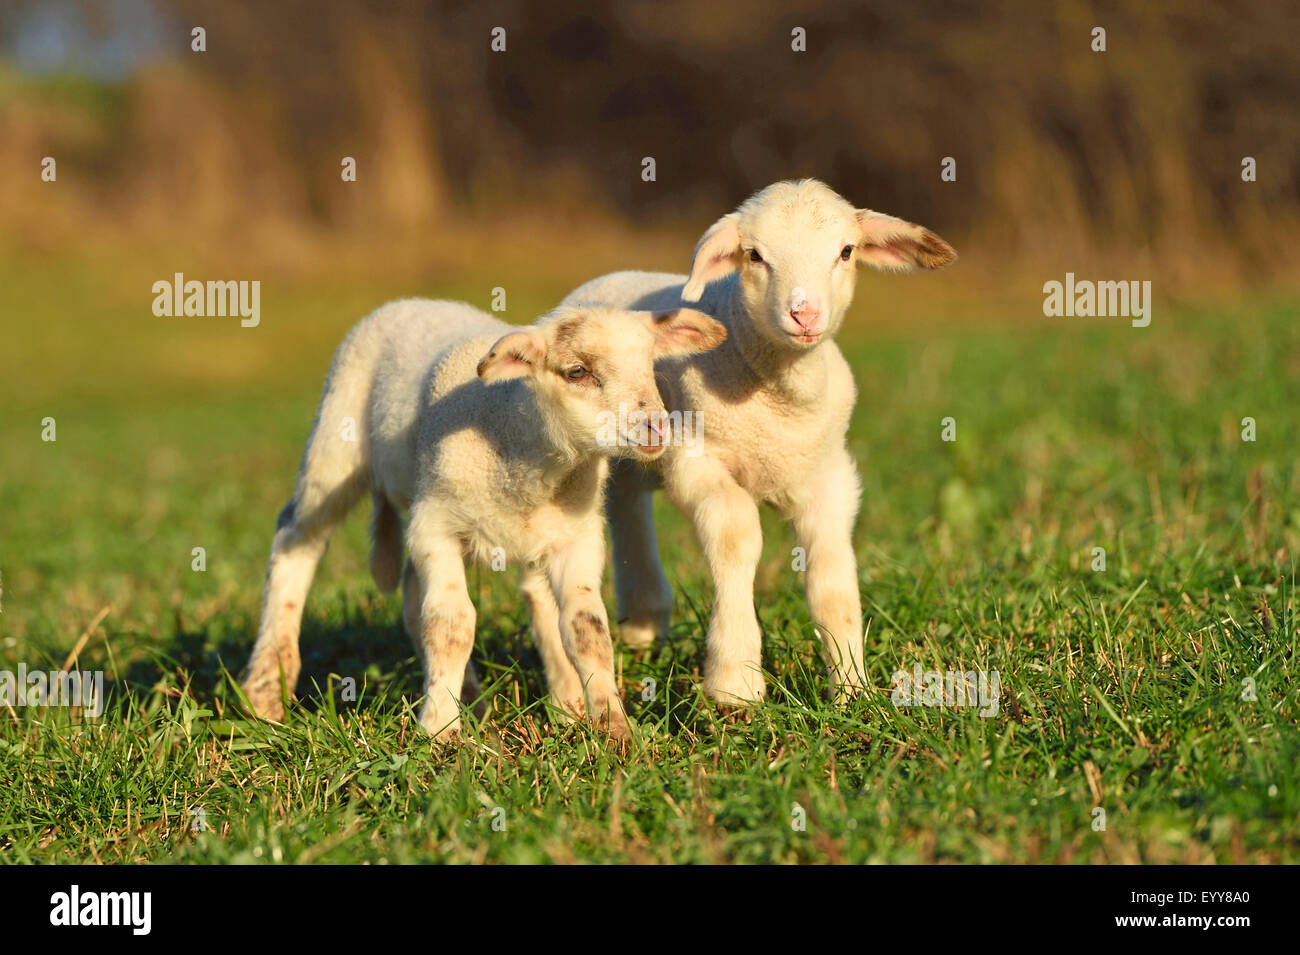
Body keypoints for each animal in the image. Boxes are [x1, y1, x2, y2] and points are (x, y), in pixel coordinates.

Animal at [237, 297, 728, 738]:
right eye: (577, 372)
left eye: (648, 364)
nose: (656, 428)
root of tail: (409, 301)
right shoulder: (435, 527)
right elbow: (451, 625)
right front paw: (438, 732)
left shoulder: (576, 538)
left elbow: (587, 630)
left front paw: (613, 729)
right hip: (335, 445)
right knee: (296, 541)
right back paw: (266, 692)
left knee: (411, 591)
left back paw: (476, 701)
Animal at [559, 178, 956, 701]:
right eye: (755, 255)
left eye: (846, 251)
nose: (804, 313)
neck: (781, 398)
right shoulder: (698, 461)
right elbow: (736, 538)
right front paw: (736, 682)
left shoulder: (829, 476)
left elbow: (831, 576)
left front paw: (852, 688)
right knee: (623, 502)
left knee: (627, 498)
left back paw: (644, 619)